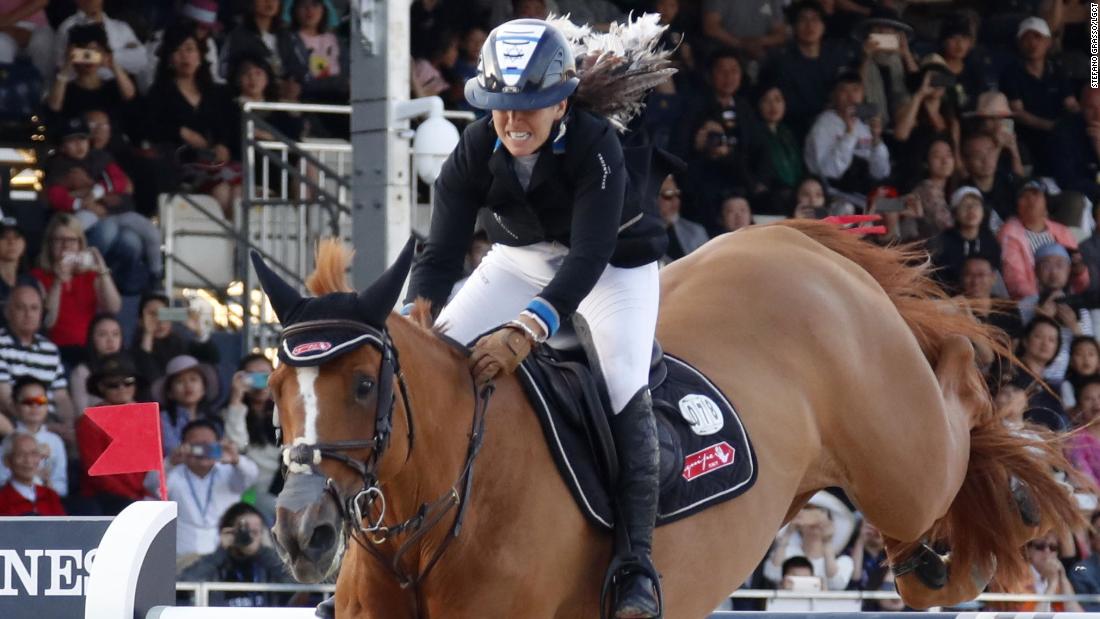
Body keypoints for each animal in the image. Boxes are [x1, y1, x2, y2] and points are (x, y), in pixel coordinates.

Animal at [264, 219, 1082, 615]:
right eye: (274, 386)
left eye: (364, 383)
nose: (303, 534)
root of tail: (791, 240)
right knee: (918, 555)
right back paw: (934, 558)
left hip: (900, 454)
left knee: (957, 398)